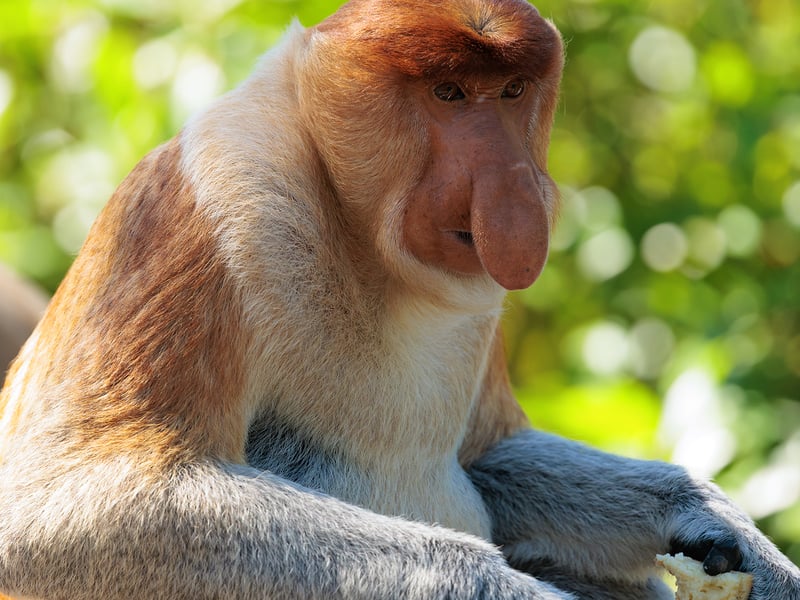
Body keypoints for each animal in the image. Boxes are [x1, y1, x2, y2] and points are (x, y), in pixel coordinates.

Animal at [1, 0, 799, 598]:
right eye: (448, 95)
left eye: (512, 92)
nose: (517, 189)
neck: (373, 261)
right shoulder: (209, 201)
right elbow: (59, 513)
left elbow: (491, 453)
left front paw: (723, 531)